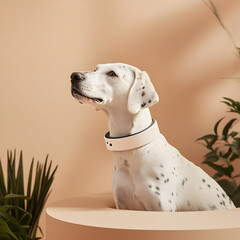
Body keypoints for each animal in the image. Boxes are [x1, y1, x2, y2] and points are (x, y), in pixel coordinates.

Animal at [70, 62, 235, 211]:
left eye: (112, 73)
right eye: (95, 69)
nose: (74, 76)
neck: (131, 151)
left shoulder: (161, 208)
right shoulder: (122, 205)